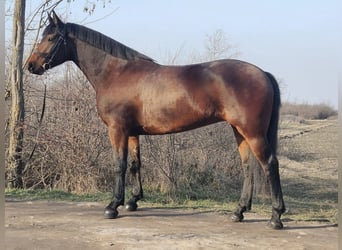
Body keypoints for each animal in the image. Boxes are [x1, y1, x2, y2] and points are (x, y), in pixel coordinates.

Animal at [26, 12, 284, 230]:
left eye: (50, 37)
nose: (31, 65)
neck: (115, 73)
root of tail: (262, 73)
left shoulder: (117, 130)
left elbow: (119, 165)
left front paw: (113, 206)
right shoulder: (132, 132)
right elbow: (135, 164)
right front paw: (132, 201)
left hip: (253, 132)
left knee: (270, 164)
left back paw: (275, 217)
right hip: (239, 131)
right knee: (248, 167)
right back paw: (238, 212)